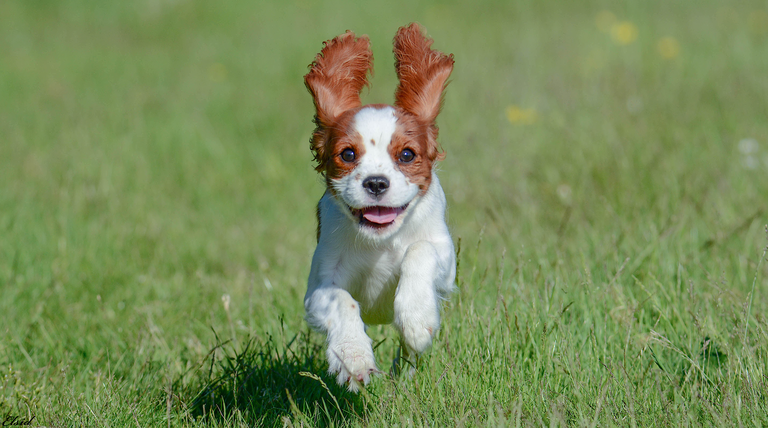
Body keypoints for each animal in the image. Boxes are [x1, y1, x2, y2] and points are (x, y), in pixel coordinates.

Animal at [302, 24, 456, 394]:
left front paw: (416, 320)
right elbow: (341, 299)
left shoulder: (446, 258)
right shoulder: (317, 289)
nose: (375, 183)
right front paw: (354, 358)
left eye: (407, 155)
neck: (381, 240)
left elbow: (420, 249)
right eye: (347, 154)